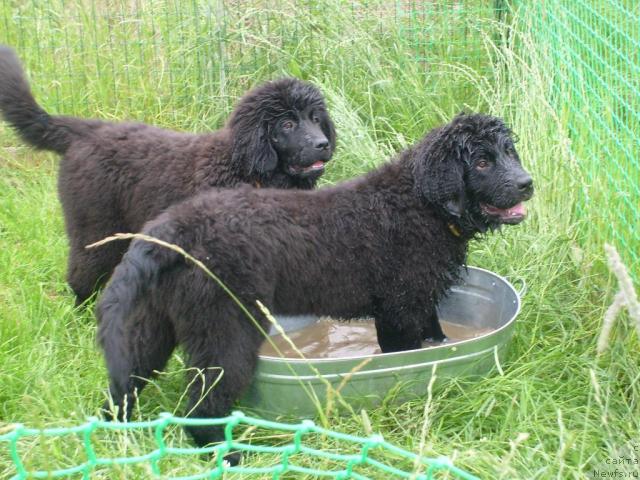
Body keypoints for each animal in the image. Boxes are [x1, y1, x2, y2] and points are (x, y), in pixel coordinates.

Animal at [0, 44, 338, 300]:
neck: (244, 169)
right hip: (96, 226)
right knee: (84, 273)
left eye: (315, 118)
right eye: (287, 124)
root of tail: (86, 131)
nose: (323, 144)